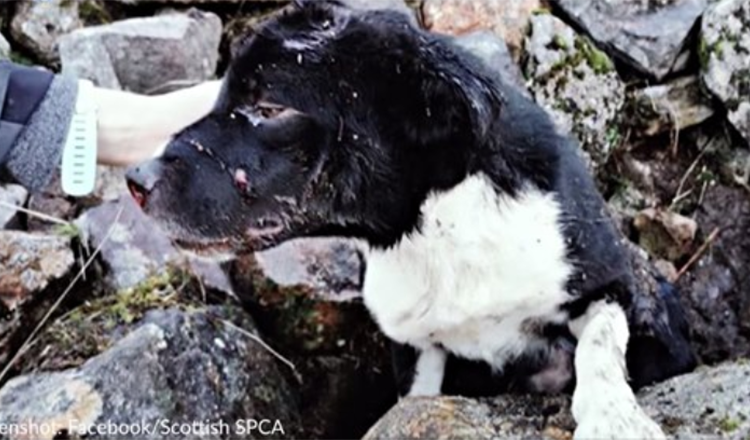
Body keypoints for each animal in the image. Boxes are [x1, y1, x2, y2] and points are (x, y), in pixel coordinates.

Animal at [125, 1, 700, 438]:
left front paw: (616, 419)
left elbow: (598, 349)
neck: (434, 229)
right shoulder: (416, 348)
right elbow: (415, 402)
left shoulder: (606, 286)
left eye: (269, 108)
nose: (135, 178)